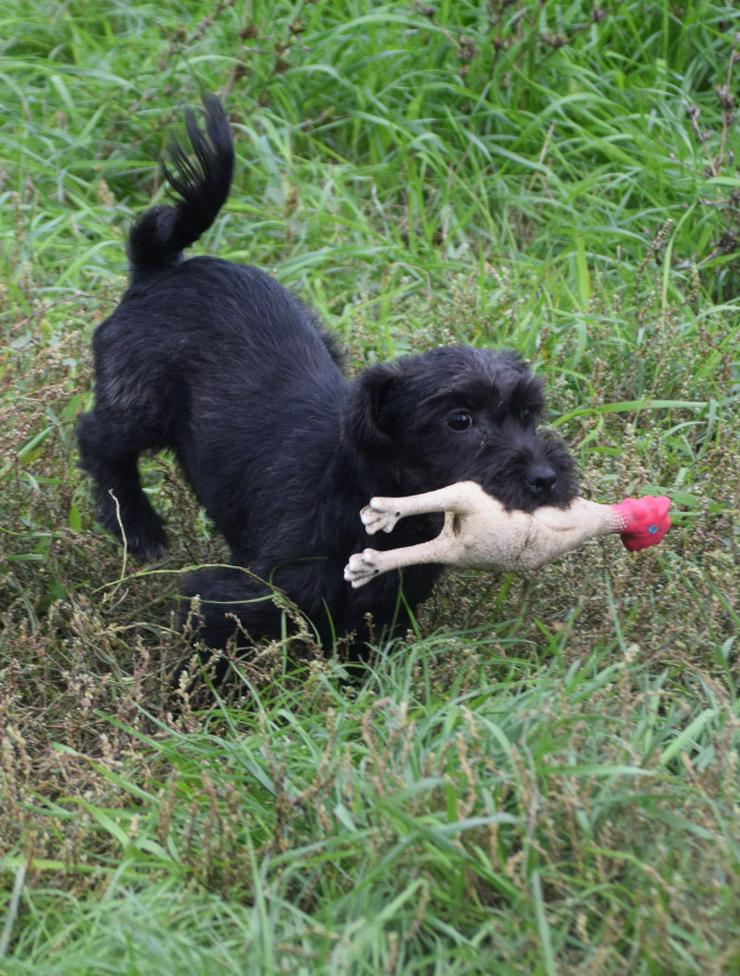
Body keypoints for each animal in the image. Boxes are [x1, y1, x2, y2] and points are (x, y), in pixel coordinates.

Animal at [79, 97, 580, 664]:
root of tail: (163, 267)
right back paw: (137, 526)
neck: (370, 493)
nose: (546, 478)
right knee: (97, 440)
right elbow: (214, 647)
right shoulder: (240, 593)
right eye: (459, 420)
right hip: (140, 400)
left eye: (528, 414)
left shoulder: (384, 606)